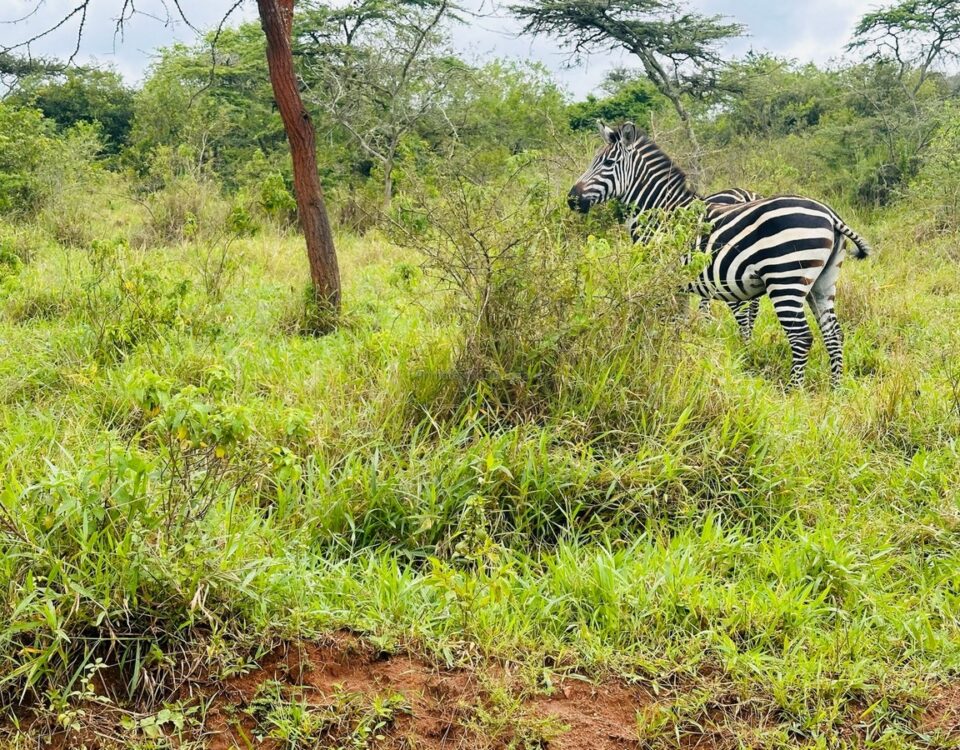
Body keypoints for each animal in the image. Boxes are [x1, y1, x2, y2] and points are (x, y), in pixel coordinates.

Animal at [568, 120, 872, 390]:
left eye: (608, 164)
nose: (571, 200)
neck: (661, 213)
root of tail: (829, 214)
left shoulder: (662, 277)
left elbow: (661, 321)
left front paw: (658, 357)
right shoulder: (679, 283)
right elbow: (677, 322)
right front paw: (677, 360)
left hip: (785, 279)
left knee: (801, 337)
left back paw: (793, 392)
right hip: (822, 283)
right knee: (833, 334)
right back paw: (835, 391)